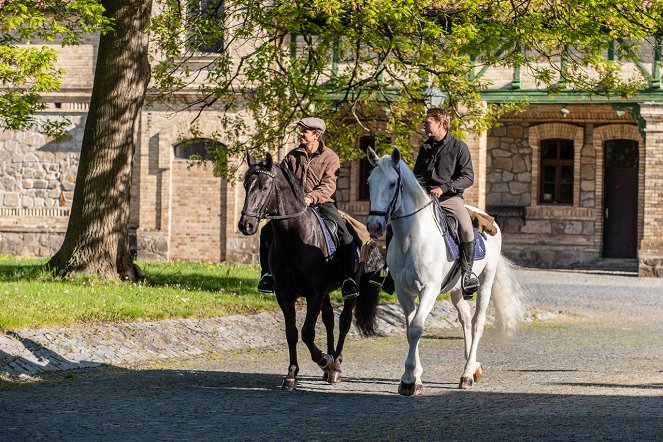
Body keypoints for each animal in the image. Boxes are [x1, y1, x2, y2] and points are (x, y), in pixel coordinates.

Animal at [240, 153, 384, 390]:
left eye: (264, 187)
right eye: (245, 185)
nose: (246, 224)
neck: (294, 239)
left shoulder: (314, 293)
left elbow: (307, 332)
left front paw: (324, 360)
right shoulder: (284, 294)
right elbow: (291, 332)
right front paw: (291, 373)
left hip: (349, 288)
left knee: (344, 322)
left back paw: (336, 365)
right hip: (325, 293)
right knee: (329, 320)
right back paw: (330, 365)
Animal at [366, 147, 528, 396]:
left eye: (393, 184)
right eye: (369, 183)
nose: (374, 227)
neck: (411, 238)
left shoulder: (429, 289)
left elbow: (416, 328)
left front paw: (409, 379)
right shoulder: (403, 292)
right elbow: (409, 329)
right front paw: (415, 376)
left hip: (486, 281)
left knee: (478, 322)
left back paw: (467, 375)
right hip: (456, 289)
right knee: (466, 318)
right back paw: (473, 366)